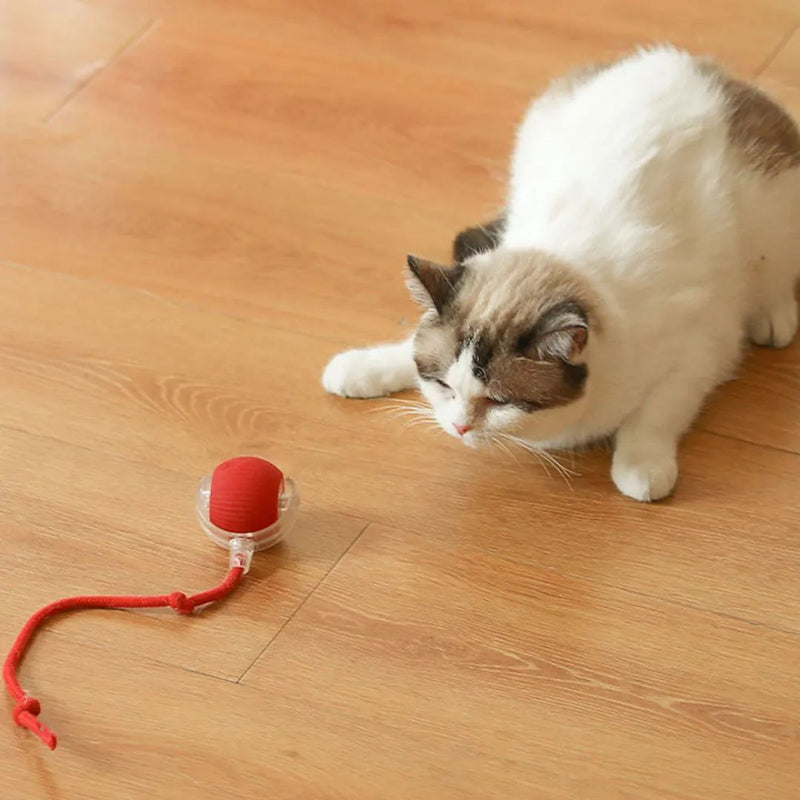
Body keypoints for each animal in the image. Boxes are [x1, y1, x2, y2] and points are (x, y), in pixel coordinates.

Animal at [320, 45, 800, 500]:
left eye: (499, 400)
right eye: (443, 385)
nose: (458, 427)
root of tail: (702, 66)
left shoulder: (701, 350)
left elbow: (656, 414)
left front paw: (641, 469)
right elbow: (403, 350)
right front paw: (357, 369)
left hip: (771, 217)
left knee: (775, 279)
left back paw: (774, 318)